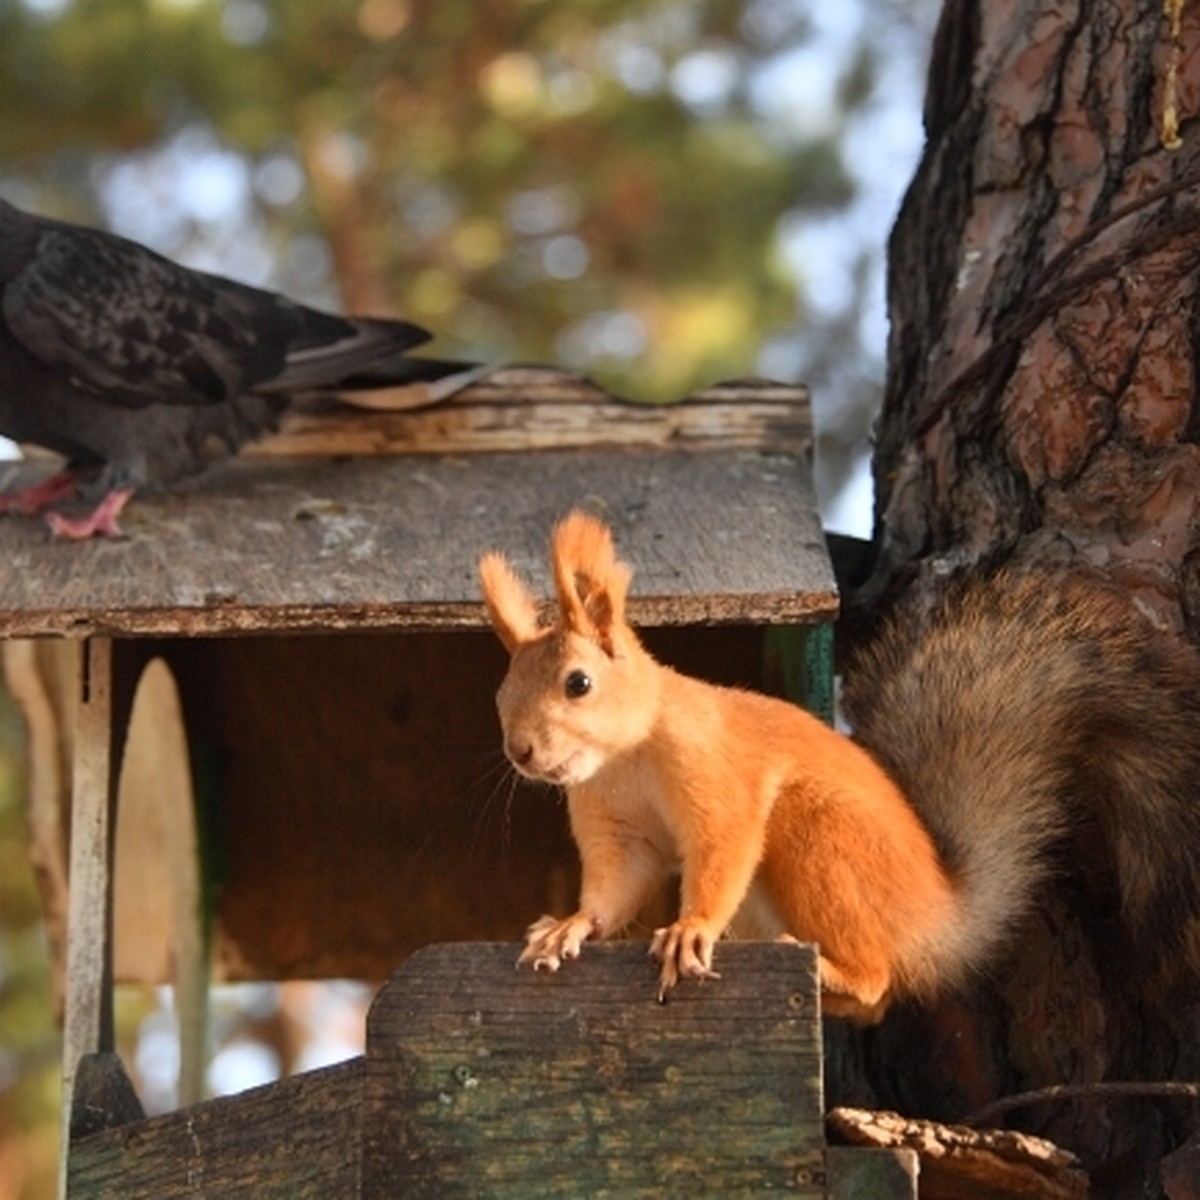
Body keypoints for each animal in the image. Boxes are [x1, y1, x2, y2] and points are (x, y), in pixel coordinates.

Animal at [477, 508, 1200, 1022]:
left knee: (878, 981)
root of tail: (940, 916)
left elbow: (723, 847)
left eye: (578, 683)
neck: (622, 760)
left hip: (820, 839)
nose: (521, 752)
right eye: (501, 695)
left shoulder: (716, 772)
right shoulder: (614, 824)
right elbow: (615, 884)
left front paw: (689, 929)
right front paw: (568, 927)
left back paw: (828, 971)